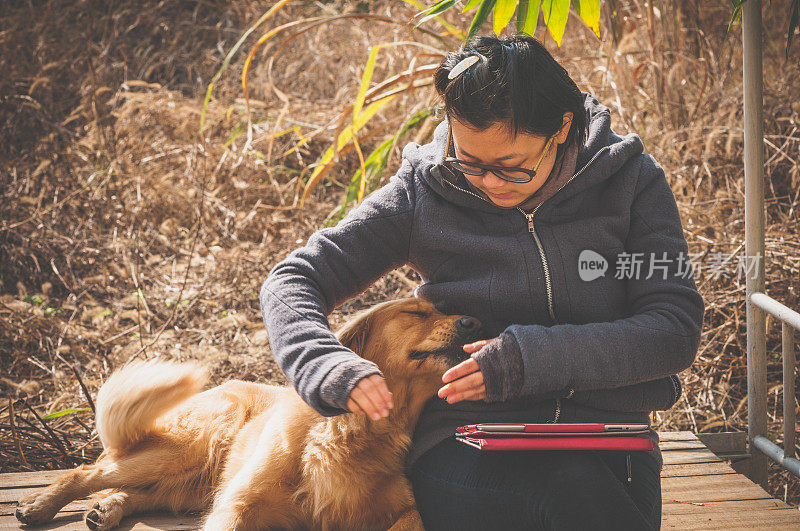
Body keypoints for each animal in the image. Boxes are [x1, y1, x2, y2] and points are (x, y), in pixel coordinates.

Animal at [15, 298, 484, 528]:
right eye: (416, 312)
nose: (475, 323)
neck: (355, 430)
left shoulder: (405, 508)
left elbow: (412, 521)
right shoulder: (238, 502)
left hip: (191, 484)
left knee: (137, 492)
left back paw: (107, 509)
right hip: (189, 448)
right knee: (87, 473)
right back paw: (39, 504)